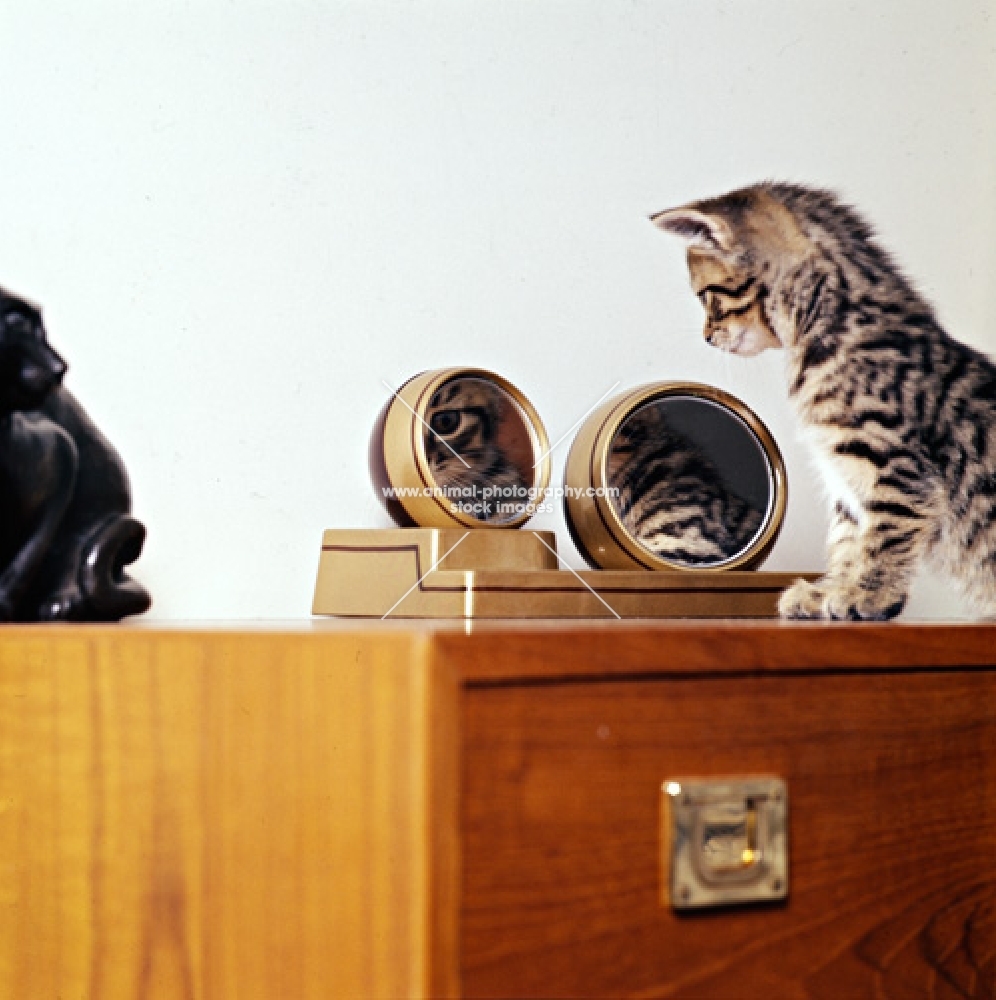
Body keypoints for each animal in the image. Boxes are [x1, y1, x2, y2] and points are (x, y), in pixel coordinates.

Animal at [648, 180, 996, 616]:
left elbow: (885, 533)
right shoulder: (846, 473)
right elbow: (848, 538)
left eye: (705, 295)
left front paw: (868, 594)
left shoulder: (894, 464)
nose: (708, 337)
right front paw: (830, 591)